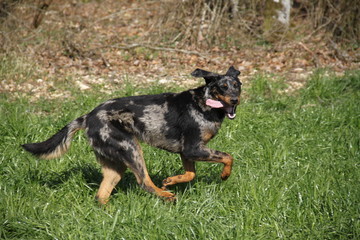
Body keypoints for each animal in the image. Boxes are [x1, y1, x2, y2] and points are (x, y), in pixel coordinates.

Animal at [21, 66, 242, 204]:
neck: (205, 103)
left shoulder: (187, 153)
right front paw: (224, 175)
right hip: (132, 149)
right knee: (144, 182)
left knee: (101, 196)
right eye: (222, 87)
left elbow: (190, 174)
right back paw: (166, 195)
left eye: (237, 86)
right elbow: (228, 157)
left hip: (115, 165)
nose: (235, 100)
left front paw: (171, 180)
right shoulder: (192, 149)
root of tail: (88, 116)